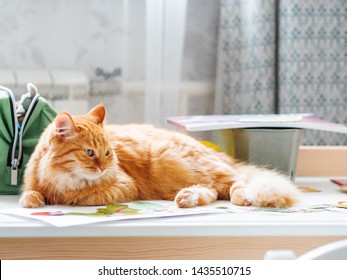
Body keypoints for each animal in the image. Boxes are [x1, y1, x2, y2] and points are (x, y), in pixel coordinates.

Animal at [20, 104, 300, 208]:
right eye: (89, 153)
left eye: (107, 153)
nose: (103, 167)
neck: (61, 177)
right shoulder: (33, 182)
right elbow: (29, 195)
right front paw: (36, 200)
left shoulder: (125, 185)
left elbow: (85, 196)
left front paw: (69, 198)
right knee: (211, 190)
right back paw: (186, 198)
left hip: (172, 160)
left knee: (234, 183)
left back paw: (241, 198)